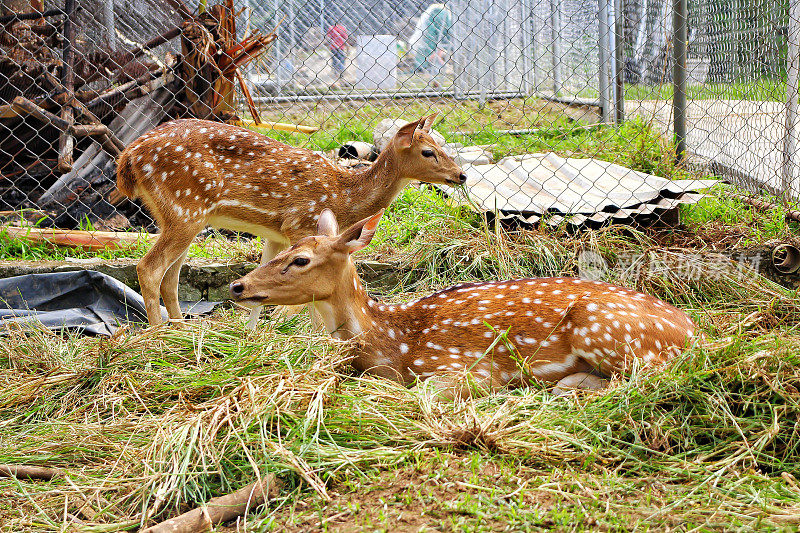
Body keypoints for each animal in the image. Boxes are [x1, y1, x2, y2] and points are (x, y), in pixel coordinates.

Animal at [112, 114, 462, 326]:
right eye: (428, 151)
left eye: (443, 145)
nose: (462, 175)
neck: (343, 196)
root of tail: (128, 157)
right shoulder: (298, 224)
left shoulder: (275, 233)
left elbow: (257, 289)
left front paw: (253, 337)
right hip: (185, 209)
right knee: (149, 268)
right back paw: (160, 335)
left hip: (181, 216)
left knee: (169, 277)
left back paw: (182, 330)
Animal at [228, 210, 696, 396]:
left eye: (300, 260)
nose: (237, 286)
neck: (389, 343)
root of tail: (694, 332)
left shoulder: (466, 367)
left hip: (605, 327)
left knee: (646, 375)